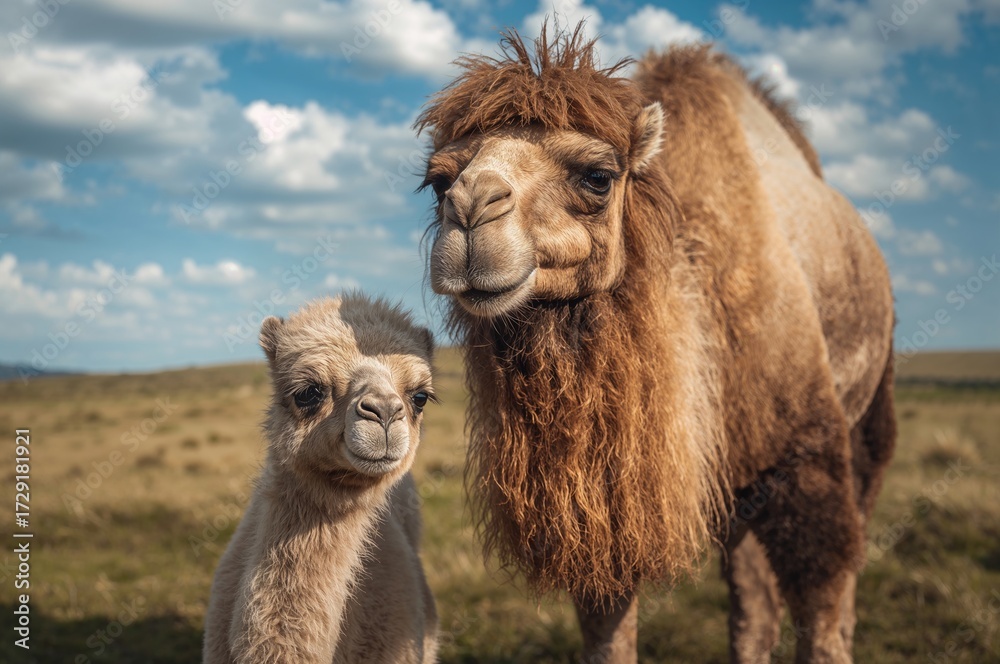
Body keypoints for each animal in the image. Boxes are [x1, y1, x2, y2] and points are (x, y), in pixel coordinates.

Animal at [417, 25, 895, 663]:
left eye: (598, 176)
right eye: (439, 181)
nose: (470, 209)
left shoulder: (806, 453)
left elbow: (822, 609)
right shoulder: (607, 512)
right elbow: (608, 628)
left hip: (870, 411)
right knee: (751, 600)